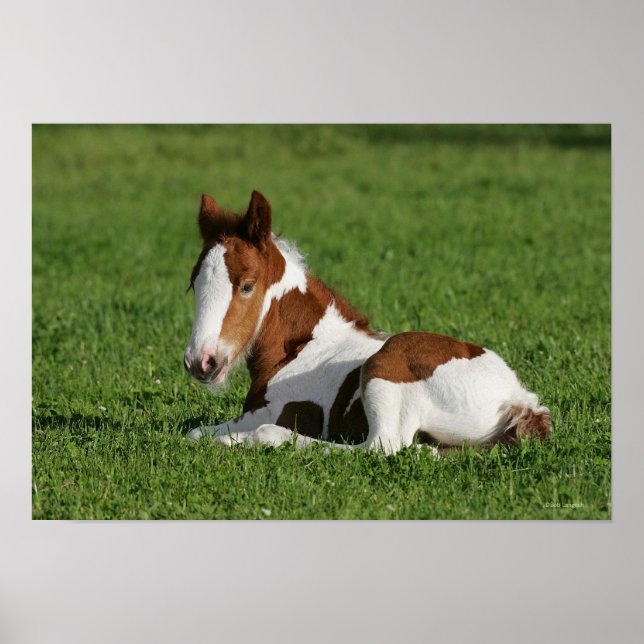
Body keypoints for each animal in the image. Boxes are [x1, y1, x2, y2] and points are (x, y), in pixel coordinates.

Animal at [183, 190, 552, 455]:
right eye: (193, 283)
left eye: (247, 285)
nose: (201, 362)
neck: (301, 347)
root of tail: (518, 398)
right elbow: (193, 432)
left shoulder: (270, 411)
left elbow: (205, 432)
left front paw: (233, 439)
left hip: (386, 365)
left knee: (380, 446)